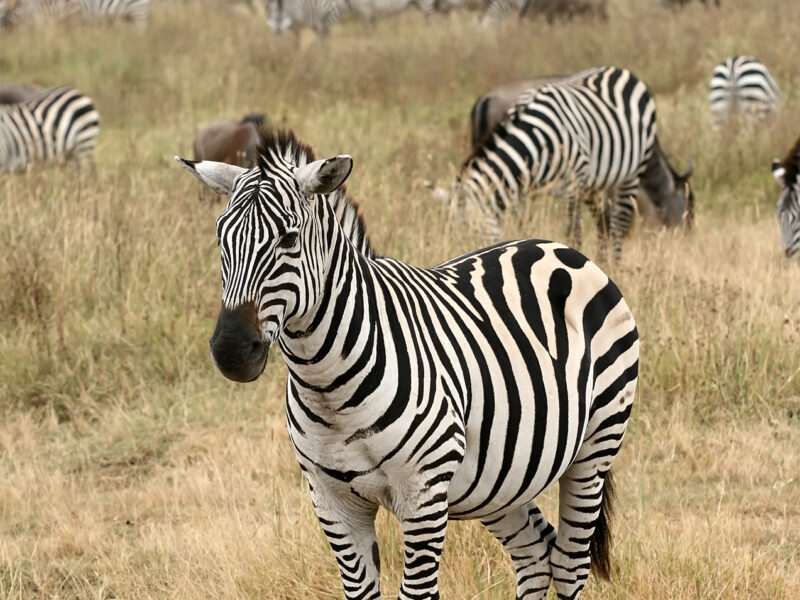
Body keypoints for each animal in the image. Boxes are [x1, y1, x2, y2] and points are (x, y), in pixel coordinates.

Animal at [175, 128, 639, 600]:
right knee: (535, 552)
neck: (327, 385)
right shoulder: (332, 501)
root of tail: (557, 247)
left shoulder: (424, 495)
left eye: (288, 239)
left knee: (569, 562)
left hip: (596, 444)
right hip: (500, 478)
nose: (231, 351)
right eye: (220, 239)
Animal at [434, 66, 694, 260]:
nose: (685, 239)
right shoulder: (529, 186)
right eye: (690, 209)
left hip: (622, 173)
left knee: (617, 223)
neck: (539, 139)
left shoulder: (577, 181)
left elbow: (578, 229)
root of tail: (622, 71)